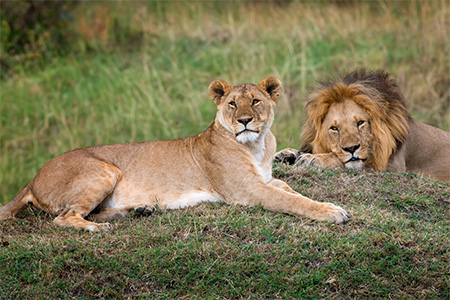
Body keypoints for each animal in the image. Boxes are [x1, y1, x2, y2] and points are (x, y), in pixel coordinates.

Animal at [0, 77, 352, 230]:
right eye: (232, 104)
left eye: (255, 101)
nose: (244, 121)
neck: (258, 145)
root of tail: (33, 179)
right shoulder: (246, 190)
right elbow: (292, 200)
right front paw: (332, 211)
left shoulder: (264, 180)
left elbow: (289, 189)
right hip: (105, 170)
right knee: (64, 218)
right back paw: (99, 227)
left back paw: (137, 210)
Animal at [274, 69, 450, 183]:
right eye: (334, 128)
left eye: (360, 123)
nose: (351, 148)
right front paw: (286, 154)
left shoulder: (392, 168)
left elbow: (343, 160)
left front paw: (313, 158)